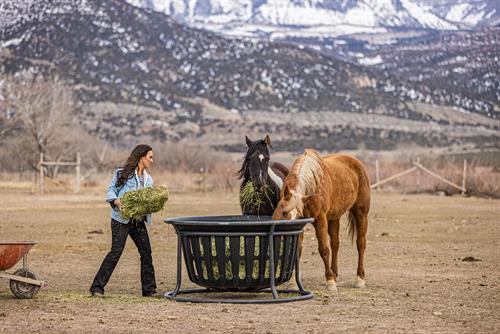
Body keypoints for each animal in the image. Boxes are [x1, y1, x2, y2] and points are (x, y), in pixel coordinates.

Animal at [272, 149, 370, 290]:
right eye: (282, 212)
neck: (311, 186)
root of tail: (357, 162)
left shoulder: (320, 219)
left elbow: (324, 249)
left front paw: (330, 281)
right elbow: (297, 251)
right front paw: (293, 283)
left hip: (361, 213)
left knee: (360, 244)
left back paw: (359, 279)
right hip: (334, 218)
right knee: (335, 244)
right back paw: (335, 273)